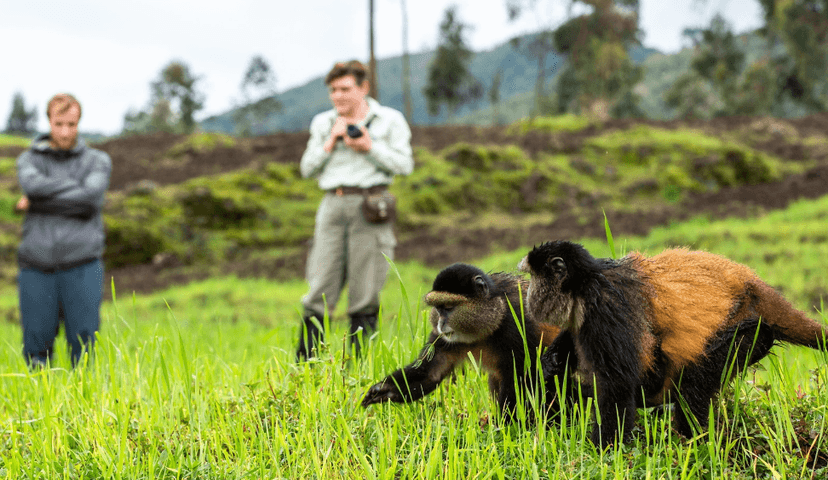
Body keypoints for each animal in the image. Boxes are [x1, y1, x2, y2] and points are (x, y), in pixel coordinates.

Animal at [361, 263, 572, 422]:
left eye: (448, 307)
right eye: (438, 308)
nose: (440, 323)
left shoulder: (518, 322)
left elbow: (522, 375)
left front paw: (505, 424)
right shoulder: (443, 339)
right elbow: (430, 373)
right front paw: (382, 390)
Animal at [518, 240, 828, 447]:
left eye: (534, 277)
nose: (529, 294)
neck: (585, 281)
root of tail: (752, 284)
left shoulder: (604, 307)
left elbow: (618, 385)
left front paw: (601, 451)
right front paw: (553, 359)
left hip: (749, 332)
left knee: (692, 384)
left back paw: (694, 443)